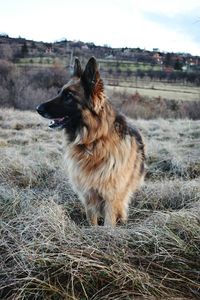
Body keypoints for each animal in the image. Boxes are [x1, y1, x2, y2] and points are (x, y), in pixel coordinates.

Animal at [36, 56, 145, 226]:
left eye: (69, 96)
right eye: (59, 93)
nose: (38, 108)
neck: (93, 140)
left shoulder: (111, 198)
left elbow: (109, 223)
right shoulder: (88, 196)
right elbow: (92, 221)